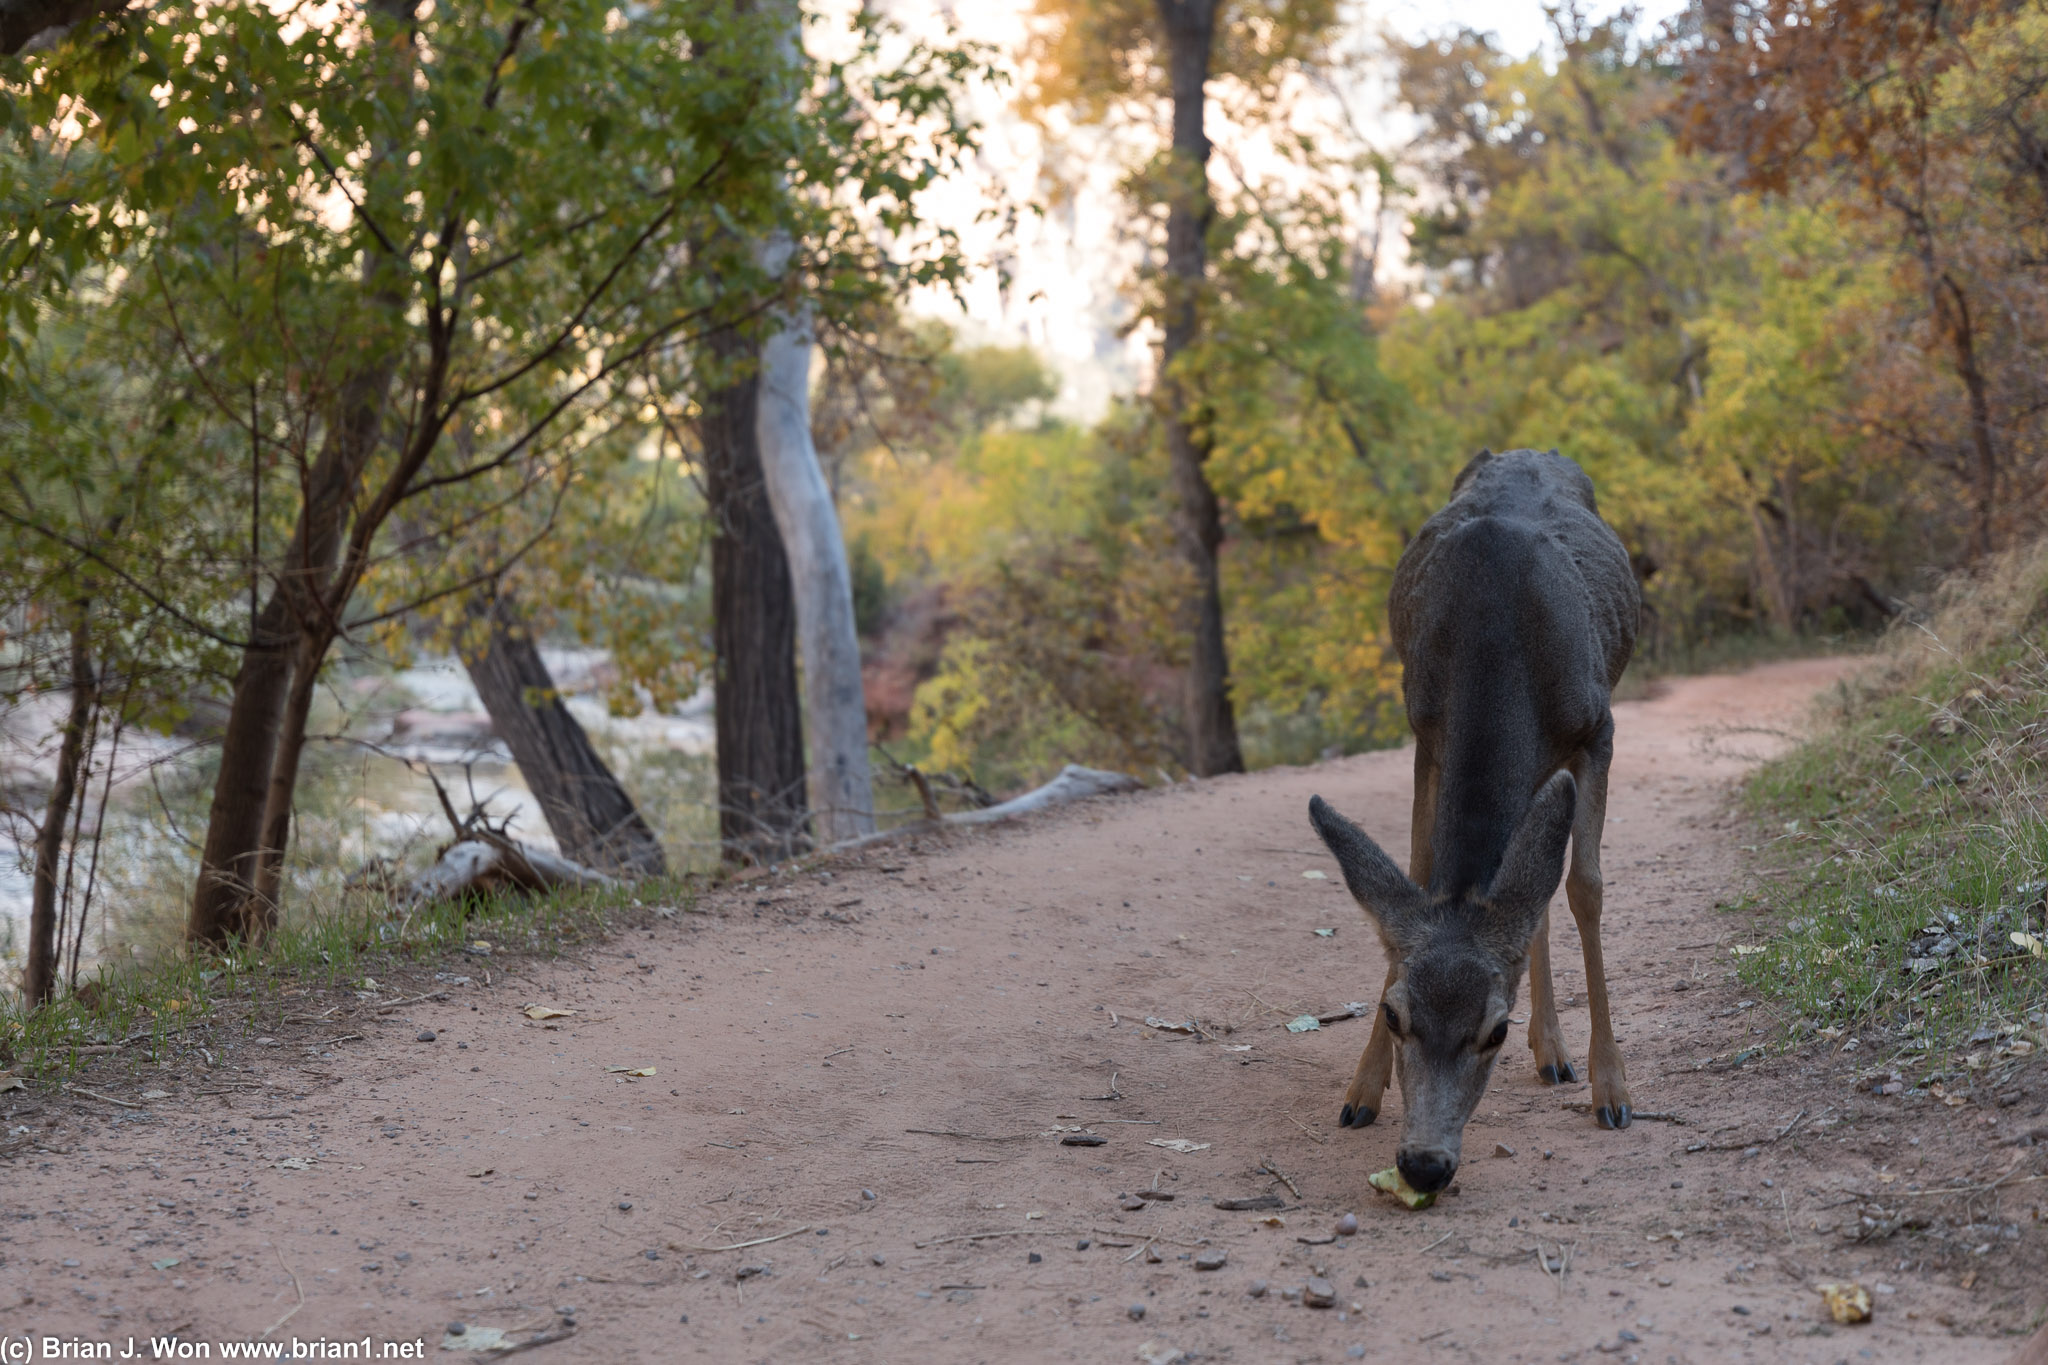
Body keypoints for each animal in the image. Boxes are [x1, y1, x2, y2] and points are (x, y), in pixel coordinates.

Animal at [1302, 450, 1638, 1195]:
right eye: (1394, 1013)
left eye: (1496, 1030)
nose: (1423, 1164)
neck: (1499, 634)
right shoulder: (1425, 727)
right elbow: (1421, 872)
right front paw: (1362, 1089)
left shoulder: (1598, 728)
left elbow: (1587, 887)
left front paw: (1613, 1088)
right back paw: (1553, 1049)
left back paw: (1561, 1055)